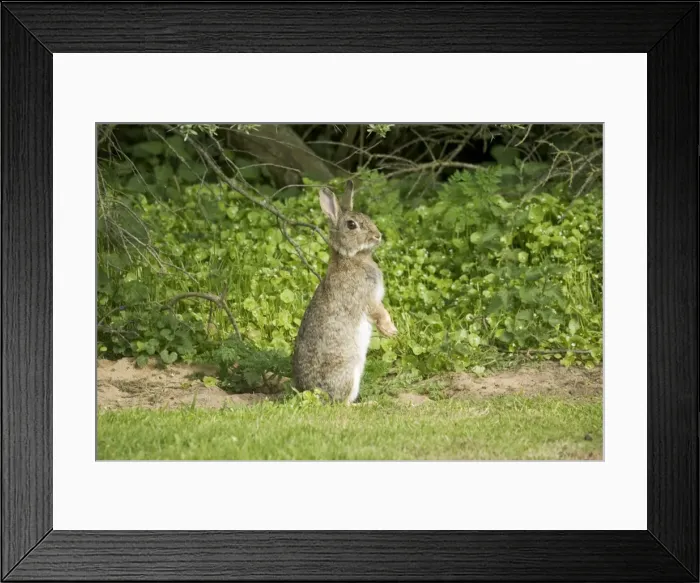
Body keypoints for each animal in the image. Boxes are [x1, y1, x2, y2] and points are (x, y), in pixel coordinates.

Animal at [292, 180, 398, 404]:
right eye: (351, 225)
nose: (378, 236)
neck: (351, 257)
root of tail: (313, 393)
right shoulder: (367, 297)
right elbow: (379, 312)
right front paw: (391, 331)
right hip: (349, 370)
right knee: (342, 403)